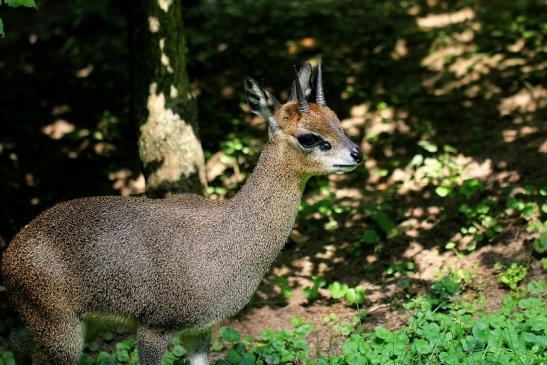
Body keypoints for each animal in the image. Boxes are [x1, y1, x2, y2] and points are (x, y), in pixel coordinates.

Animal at [3, 61, 364, 362]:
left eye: (337, 120)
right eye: (308, 137)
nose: (356, 154)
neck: (228, 237)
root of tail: (11, 252)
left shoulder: (200, 330)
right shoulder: (154, 329)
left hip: (76, 325)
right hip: (62, 332)